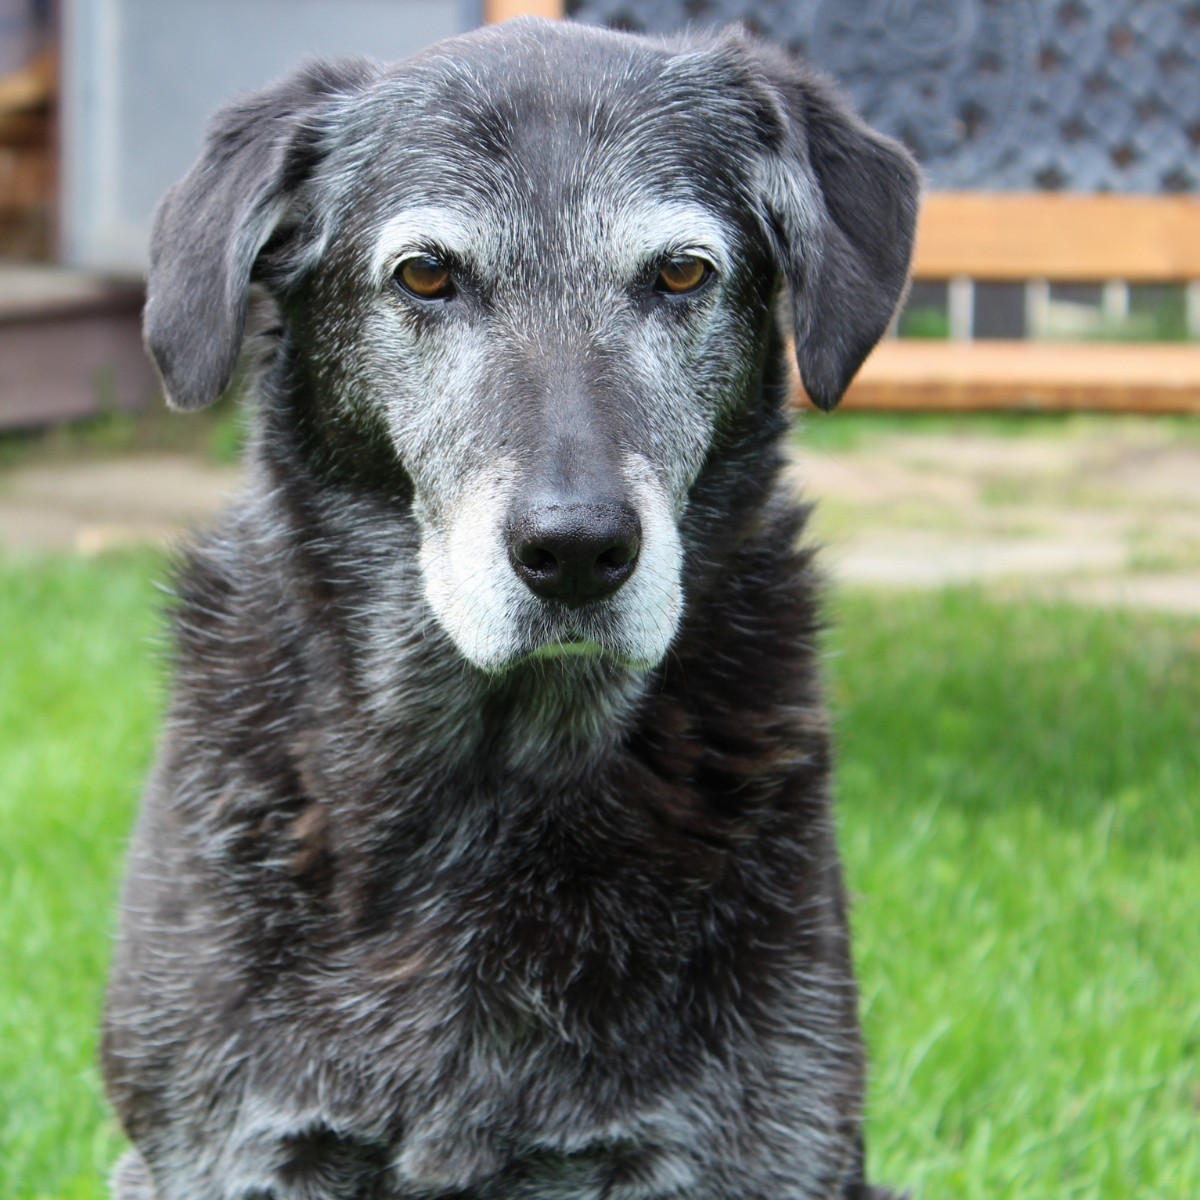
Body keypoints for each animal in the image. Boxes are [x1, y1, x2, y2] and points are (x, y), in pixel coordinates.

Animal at [100, 14, 916, 1195]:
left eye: (681, 272)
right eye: (427, 275)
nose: (575, 552)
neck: (487, 780)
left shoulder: (751, 1146)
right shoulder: (226, 1146)